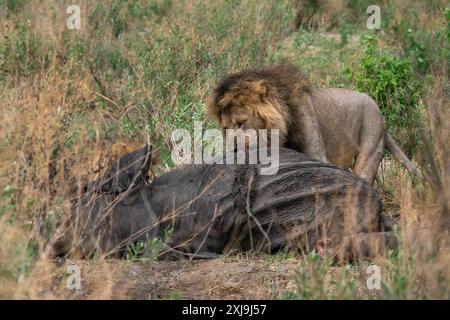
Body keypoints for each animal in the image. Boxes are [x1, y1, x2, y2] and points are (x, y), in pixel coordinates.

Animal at [207, 64, 418, 185]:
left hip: (370, 149)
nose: (233, 149)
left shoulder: (317, 156)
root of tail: (381, 115)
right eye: (225, 128)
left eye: (241, 123)